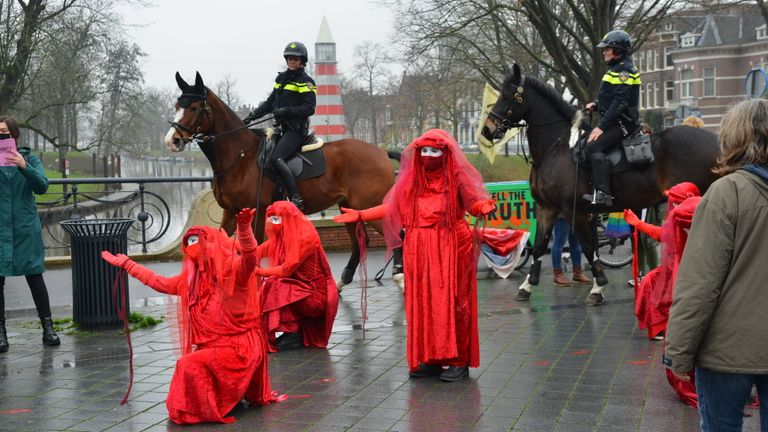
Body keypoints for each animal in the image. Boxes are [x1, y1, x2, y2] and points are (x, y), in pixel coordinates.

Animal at [165, 71, 400, 286]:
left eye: (194, 107)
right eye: (177, 105)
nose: (171, 140)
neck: (241, 156)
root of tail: (382, 152)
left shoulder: (256, 212)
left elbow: (254, 250)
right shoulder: (231, 213)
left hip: (369, 206)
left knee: (396, 234)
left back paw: (398, 275)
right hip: (348, 208)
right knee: (361, 242)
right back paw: (344, 280)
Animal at [484, 66, 724, 306]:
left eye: (508, 95)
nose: (487, 130)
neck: (557, 149)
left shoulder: (575, 212)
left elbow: (589, 247)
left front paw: (598, 286)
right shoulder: (547, 209)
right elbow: (540, 246)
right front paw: (526, 286)